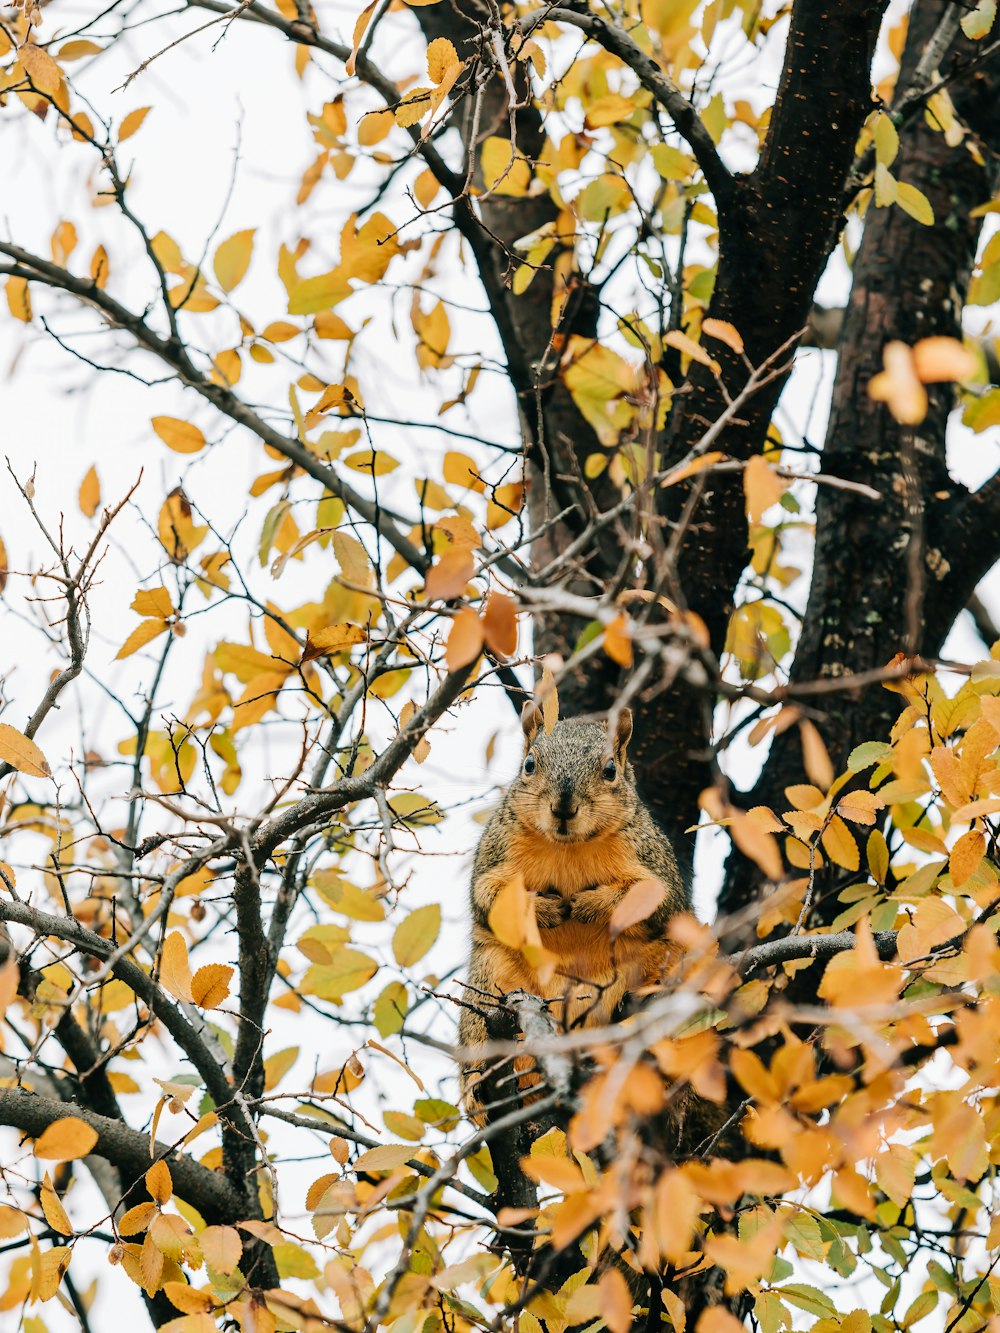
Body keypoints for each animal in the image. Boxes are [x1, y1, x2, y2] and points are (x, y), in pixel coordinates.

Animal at [461, 709, 688, 1114]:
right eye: (529, 765)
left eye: (610, 770)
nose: (563, 807)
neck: (568, 847)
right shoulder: (496, 853)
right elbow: (487, 898)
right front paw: (546, 909)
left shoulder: (651, 861)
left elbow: (657, 900)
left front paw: (588, 904)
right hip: (489, 981)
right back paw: (479, 1092)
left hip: (666, 956)